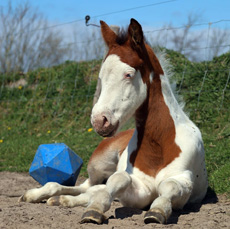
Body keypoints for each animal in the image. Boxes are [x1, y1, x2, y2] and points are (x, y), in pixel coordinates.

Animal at [18, 18, 208, 225]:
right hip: (99, 164)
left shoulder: (183, 182)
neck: (159, 144)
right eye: (101, 76)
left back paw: (60, 199)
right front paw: (94, 209)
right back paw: (38, 195)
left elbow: (170, 186)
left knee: (88, 189)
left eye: (128, 74)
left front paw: (158, 210)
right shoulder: (139, 190)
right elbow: (118, 180)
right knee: (86, 186)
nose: (99, 121)